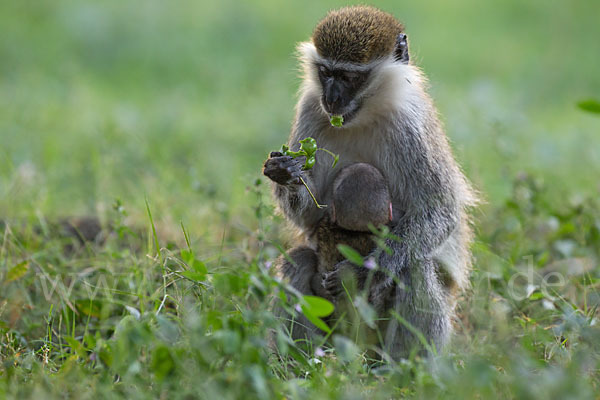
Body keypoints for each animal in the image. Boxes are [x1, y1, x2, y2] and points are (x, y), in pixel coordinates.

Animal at [262, 5, 478, 356]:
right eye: (326, 72)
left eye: (350, 77)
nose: (331, 99)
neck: (365, 115)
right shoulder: (310, 108)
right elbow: (310, 216)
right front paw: (287, 173)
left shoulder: (411, 127)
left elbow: (439, 210)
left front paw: (365, 273)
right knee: (299, 259)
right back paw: (303, 359)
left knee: (415, 267)